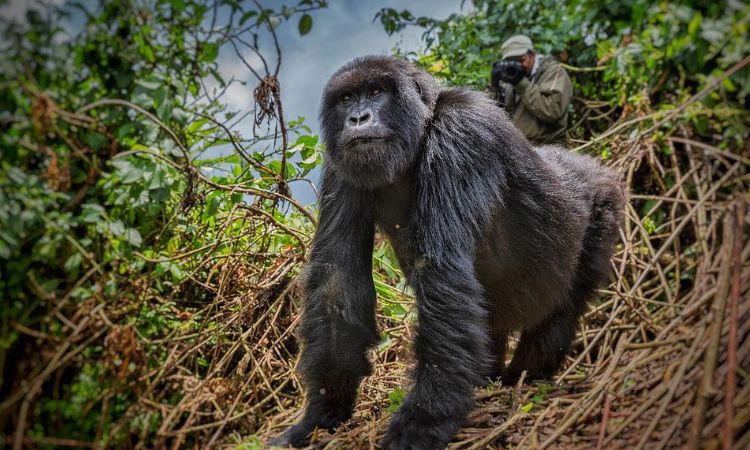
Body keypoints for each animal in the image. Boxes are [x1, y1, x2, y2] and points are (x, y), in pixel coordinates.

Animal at [269, 55, 625, 450]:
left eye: (376, 92)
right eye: (347, 99)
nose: (358, 118)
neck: (421, 130)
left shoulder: (463, 130)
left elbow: (441, 272)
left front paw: (424, 421)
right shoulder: (340, 163)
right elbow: (337, 279)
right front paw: (322, 412)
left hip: (603, 205)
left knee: (563, 306)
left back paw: (525, 377)